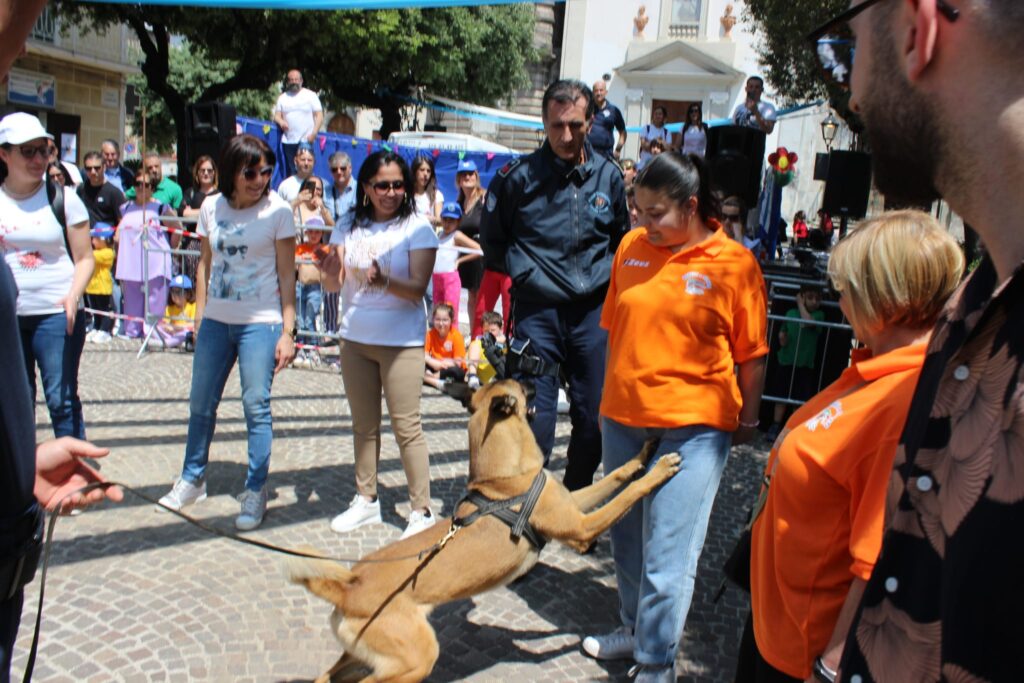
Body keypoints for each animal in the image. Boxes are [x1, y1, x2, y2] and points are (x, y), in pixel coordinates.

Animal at [286, 378, 679, 683]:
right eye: (518, 383)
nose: (542, 379)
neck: (502, 482)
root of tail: (348, 588)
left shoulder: (573, 504)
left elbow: (617, 477)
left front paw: (645, 453)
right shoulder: (581, 526)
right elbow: (627, 494)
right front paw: (659, 470)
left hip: (359, 656)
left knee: (326, 677)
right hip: (413, 661)